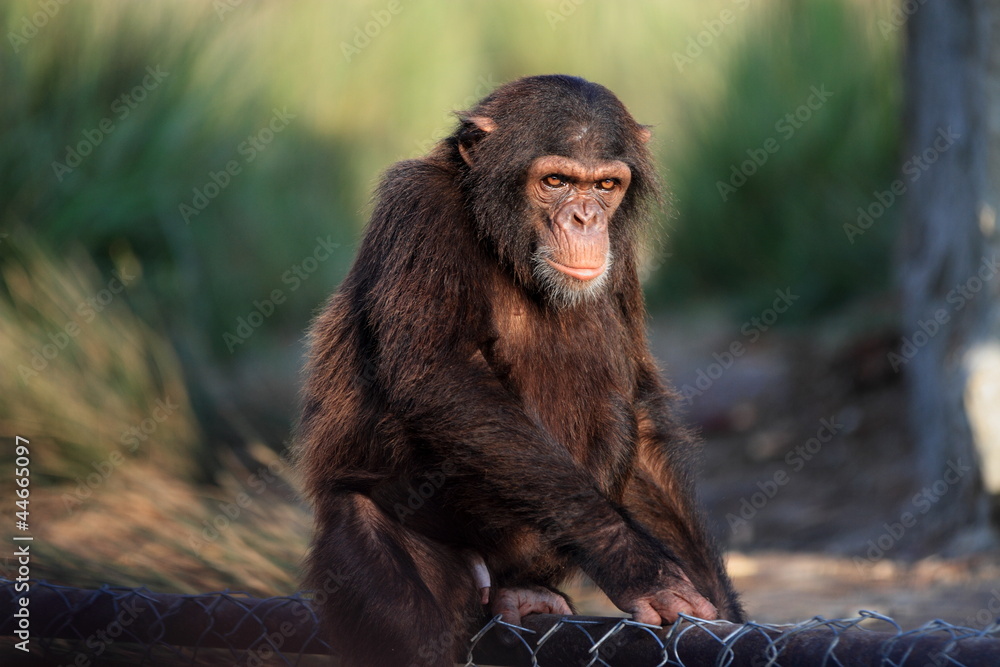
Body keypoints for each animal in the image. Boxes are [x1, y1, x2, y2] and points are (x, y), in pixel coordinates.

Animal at [295, 74, 744, 667]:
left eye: (606, 185)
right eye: (555, 181)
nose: (586, 219)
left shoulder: (622, 257)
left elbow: (642, 418)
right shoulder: (417, 205)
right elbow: (439, 375)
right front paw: (636, 567)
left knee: (609, 391)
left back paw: (524, 588)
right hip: (370, 537)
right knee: (408, 623)